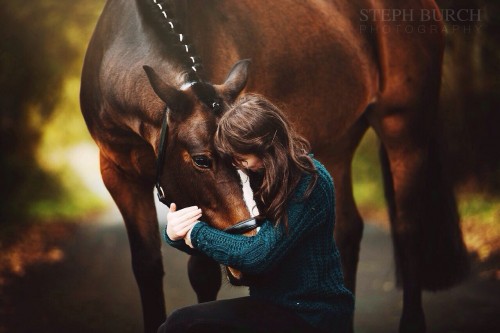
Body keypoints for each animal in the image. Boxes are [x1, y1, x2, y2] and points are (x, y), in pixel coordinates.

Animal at [81, 0, 468, 332]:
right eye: (202, 160)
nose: (248, 246)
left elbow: (202, 271)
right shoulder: (118, 175)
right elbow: (147, 266)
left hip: (404, 129)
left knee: (408, 228)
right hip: (337, 145)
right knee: (346, 229)